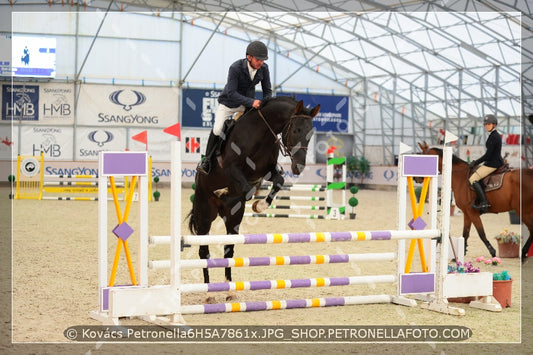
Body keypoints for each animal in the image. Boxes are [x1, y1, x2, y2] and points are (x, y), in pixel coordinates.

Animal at [187, 97, 320, 304]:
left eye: (311, 133)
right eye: (296, 130)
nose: (298, 167)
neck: (262, 133)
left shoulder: (267, 170)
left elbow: (278, 181)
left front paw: (260, 205)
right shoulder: (232, 169)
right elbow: (247, 189)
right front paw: (226, 191)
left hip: (233, 219)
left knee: (228, 250)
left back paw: (229, 291)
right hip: (204, 215)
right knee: (204, 251)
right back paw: (209, 293)